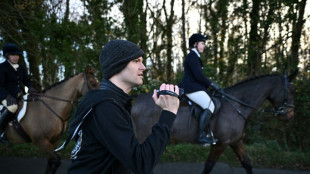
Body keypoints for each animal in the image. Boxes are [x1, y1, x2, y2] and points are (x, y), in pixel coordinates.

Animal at [131, 70, 298, 173]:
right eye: (291, 91)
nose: (290, 116)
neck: (237, 105)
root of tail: (137, 99)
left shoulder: (236, 141)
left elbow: (247, 164)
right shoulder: (221, 144)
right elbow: (208, 167)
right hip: (144, 138)